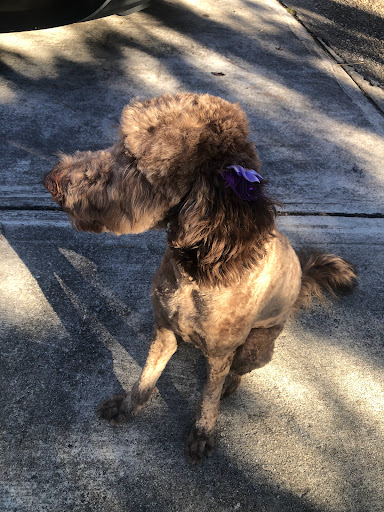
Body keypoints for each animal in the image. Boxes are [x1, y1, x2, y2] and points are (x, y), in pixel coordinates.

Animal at [43, 93, 356, 464]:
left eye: (133, 160)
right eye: (119, 143)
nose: (50, 180)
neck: (192, 276)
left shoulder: (220, 355)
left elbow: (208, 397)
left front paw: (202, 433)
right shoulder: (163, 331)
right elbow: (147, 377)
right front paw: (128, 406)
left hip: (256, 347)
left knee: (238, 370)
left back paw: (232, 384)